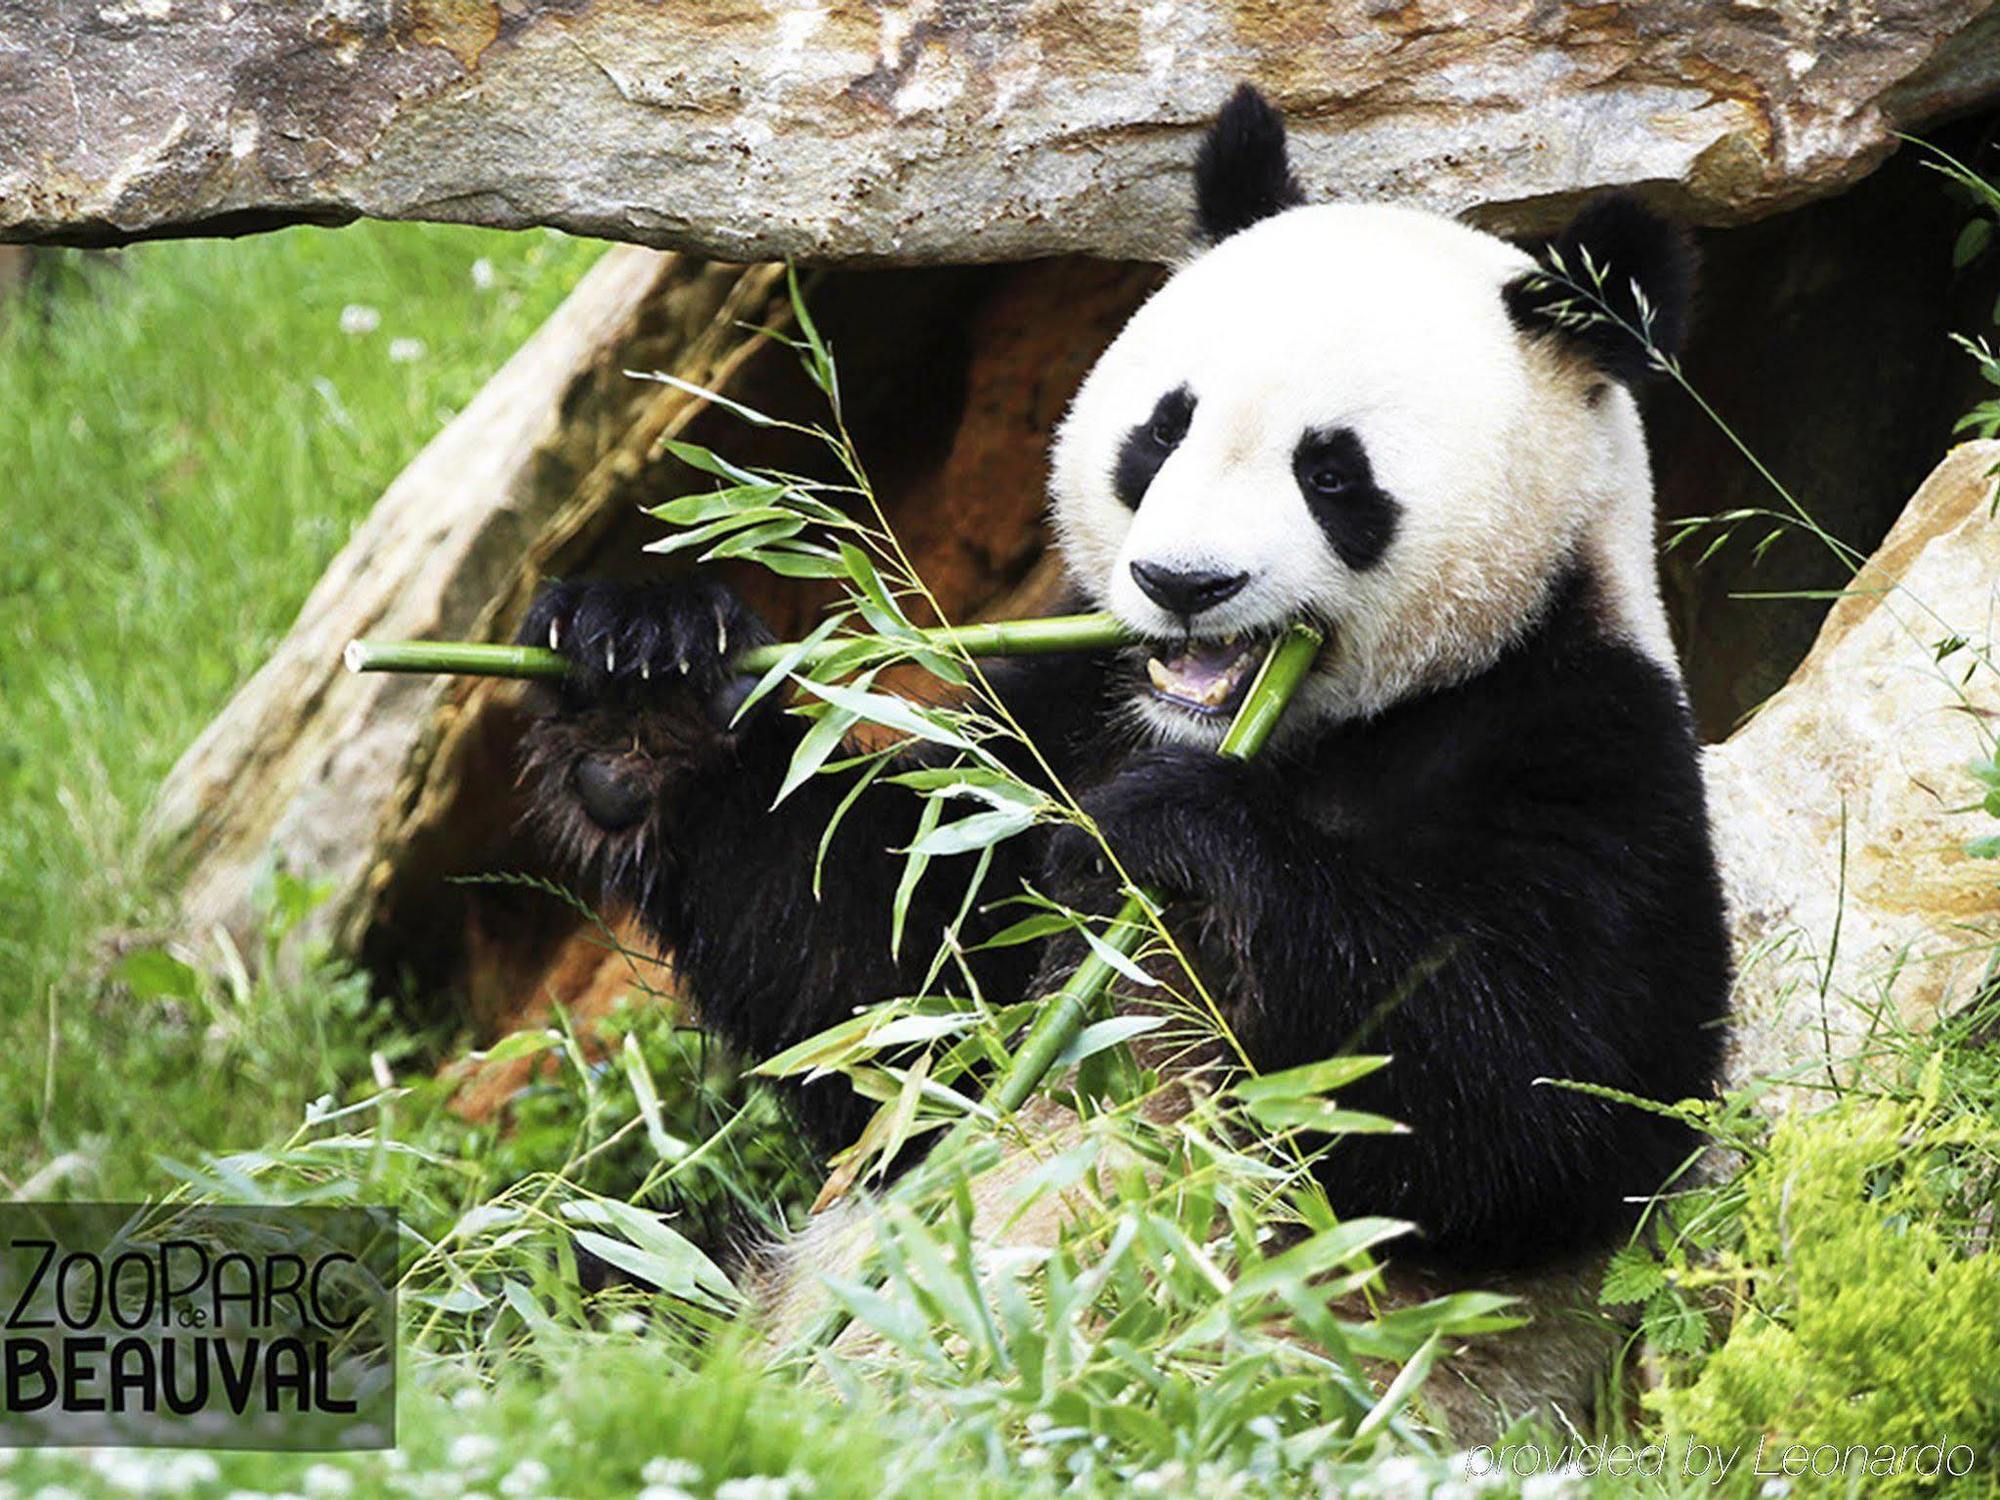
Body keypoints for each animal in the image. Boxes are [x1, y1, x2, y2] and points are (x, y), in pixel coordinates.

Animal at [520, 85, 1736, 1280]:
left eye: (1332, 472)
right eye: (1162, 429)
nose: (1182, 583)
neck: (1297, 732)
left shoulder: (1576, 738)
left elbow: (1539, 1097)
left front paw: (1172, 838)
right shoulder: (1066, 719)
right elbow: (876, 976)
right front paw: (643, 676)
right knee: (596, 1268)